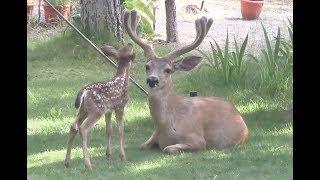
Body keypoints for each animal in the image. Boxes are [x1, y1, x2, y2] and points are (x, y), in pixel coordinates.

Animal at [124, 9, 249, 154]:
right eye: (147, 66)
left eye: (168, 70)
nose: (152, 80)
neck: (165, 125)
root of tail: (237, 111)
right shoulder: (153, 136)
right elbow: (143, 145)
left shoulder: (197, 140)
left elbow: (168, 149)